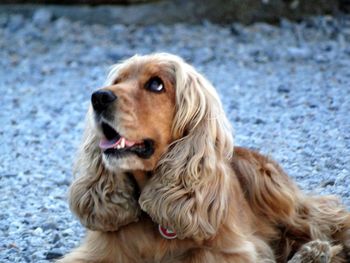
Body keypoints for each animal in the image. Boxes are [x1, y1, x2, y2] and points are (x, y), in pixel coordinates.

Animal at [58, 52, 348, 262]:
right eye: (117, 82)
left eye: (156, 84)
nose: (98, 97)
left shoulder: (230, 250)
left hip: (273, 189)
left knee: (327, 217)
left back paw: (316, 251)